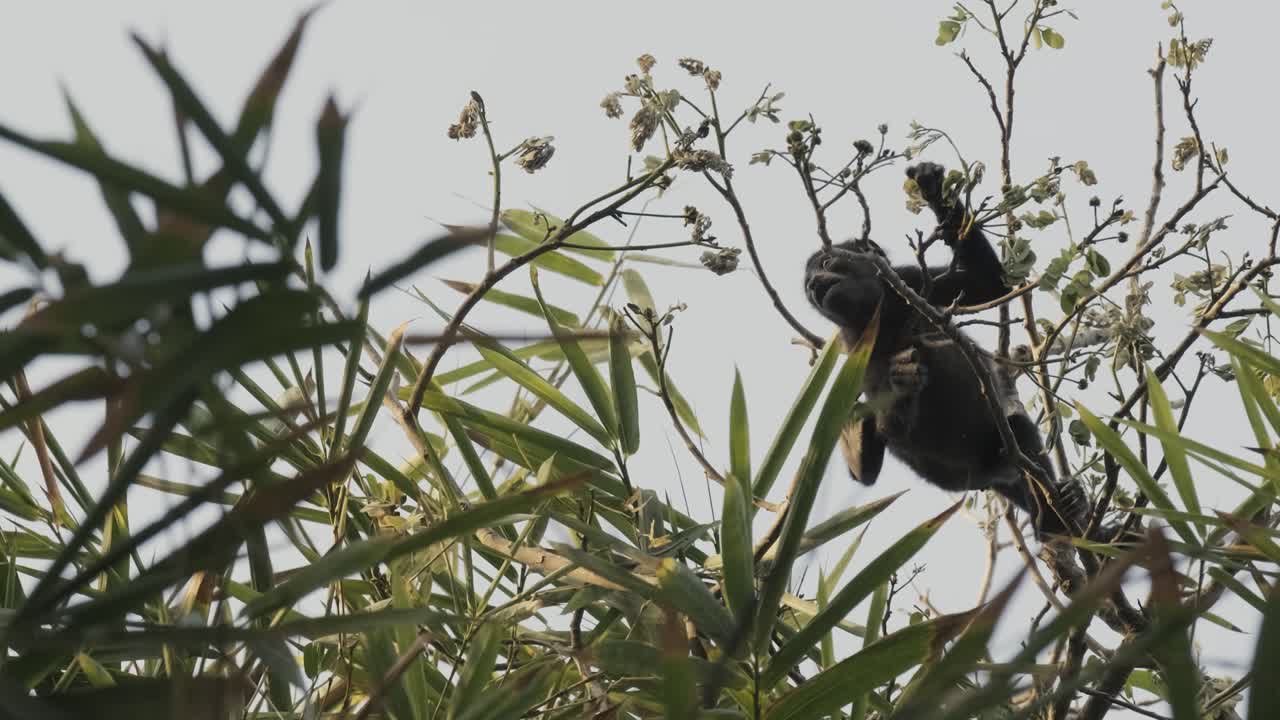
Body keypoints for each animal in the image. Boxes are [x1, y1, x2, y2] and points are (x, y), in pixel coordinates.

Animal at [804, 161, 1089, 537]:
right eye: (808, 287)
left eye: (825, 263)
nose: (812, 285)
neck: (881, 314)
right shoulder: (854, 349)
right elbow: (892, 430)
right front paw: (901, 383)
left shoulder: (913, 282)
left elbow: (989, 281)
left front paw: (933, 188)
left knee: (1019, 431)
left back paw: (1062, 511)